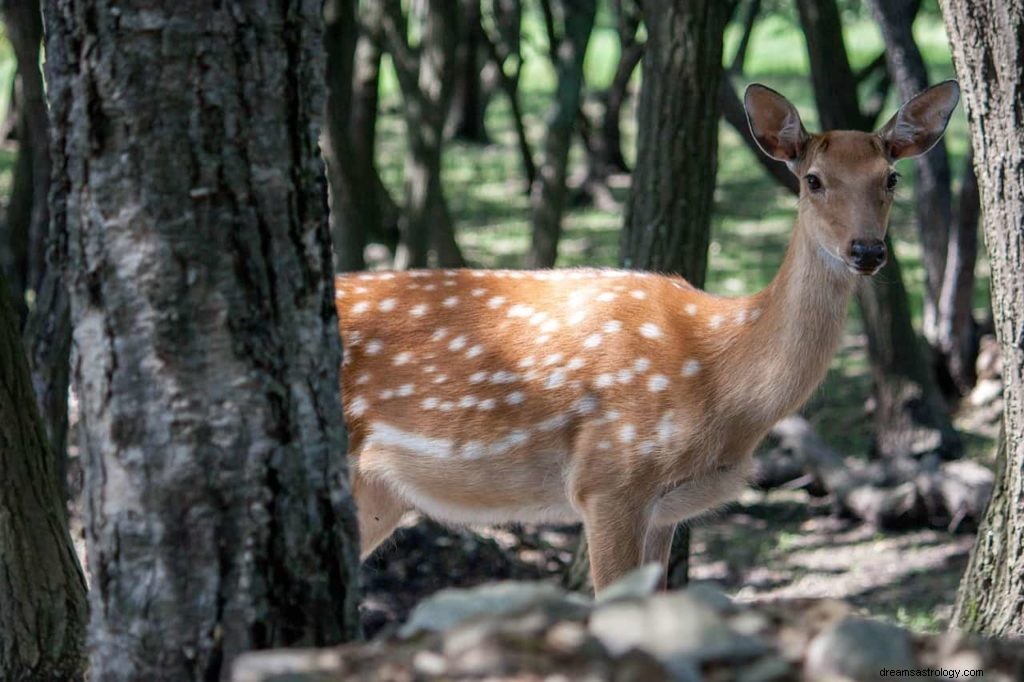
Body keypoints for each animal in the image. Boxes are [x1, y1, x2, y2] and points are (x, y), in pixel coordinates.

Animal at [335, 78, 958, 589]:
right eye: (813, 180)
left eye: (891, 178)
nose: (868, 250)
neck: (722, 387)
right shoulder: (610, 478)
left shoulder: (665, 509)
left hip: (381, 495)